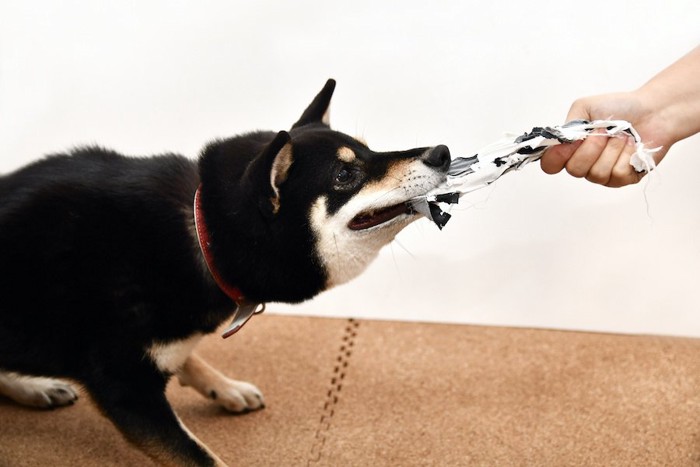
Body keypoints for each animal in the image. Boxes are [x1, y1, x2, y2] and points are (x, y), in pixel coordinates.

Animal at [0, 81, 448, 467]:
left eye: (370, 152)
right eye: (344, 175)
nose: (442, 152)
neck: (204, 236)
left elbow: (188, 356)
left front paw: (224, 386)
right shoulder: (125, 387)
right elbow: (199, 456)